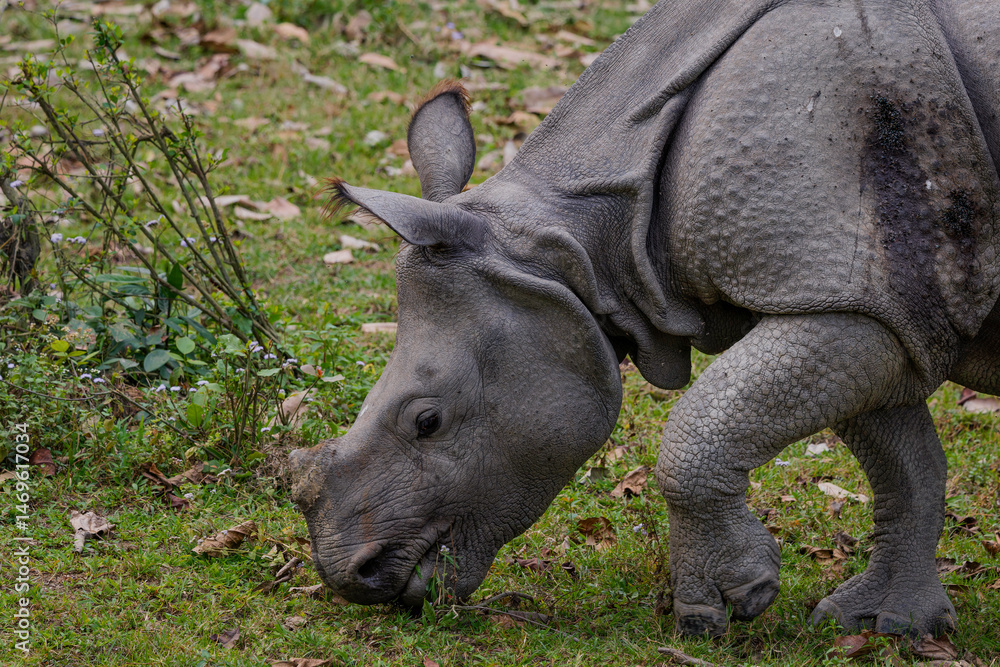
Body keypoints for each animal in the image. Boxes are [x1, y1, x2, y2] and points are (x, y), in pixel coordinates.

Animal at [290, 0, 1000, 637]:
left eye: (428, 422)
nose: (352, 576)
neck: (571, 246)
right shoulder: (867, 302)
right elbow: (904, 461)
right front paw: (886, 624)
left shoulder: (849, 294)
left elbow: (699, 428)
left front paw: (721, 606)